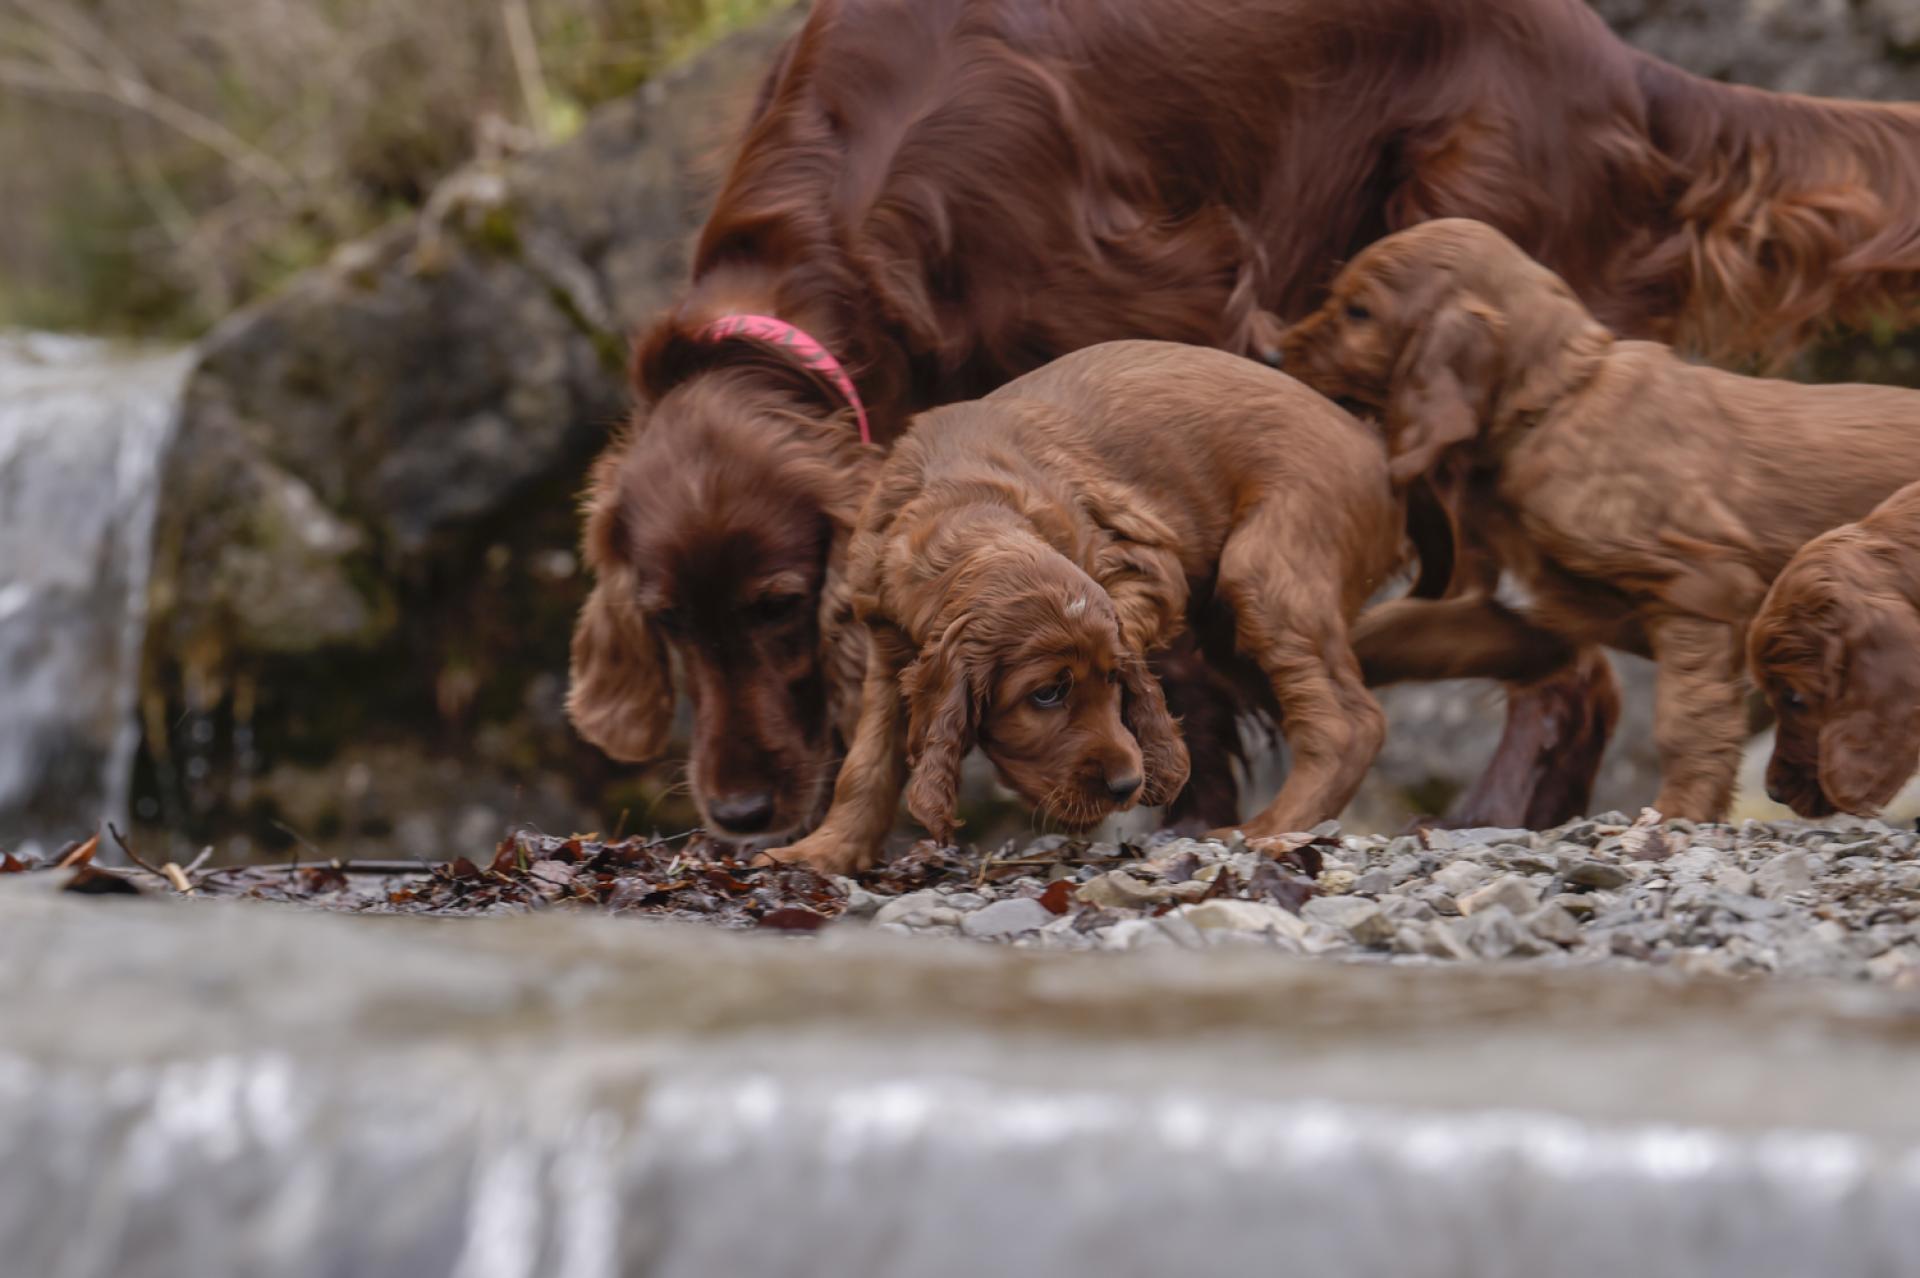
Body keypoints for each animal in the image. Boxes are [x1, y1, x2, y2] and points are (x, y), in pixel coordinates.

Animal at [760, 341, 1397, 875]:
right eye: (1047, 694)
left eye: (1112, 680)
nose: (1126, 785)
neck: (963, 507)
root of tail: (1374, 448)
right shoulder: (890, 648)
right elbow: (866, 761)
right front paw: (820, 851)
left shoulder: (1147, 570)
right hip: (1229, 629)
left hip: (1265, 569)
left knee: (1346, 722)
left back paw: (1270, 828)